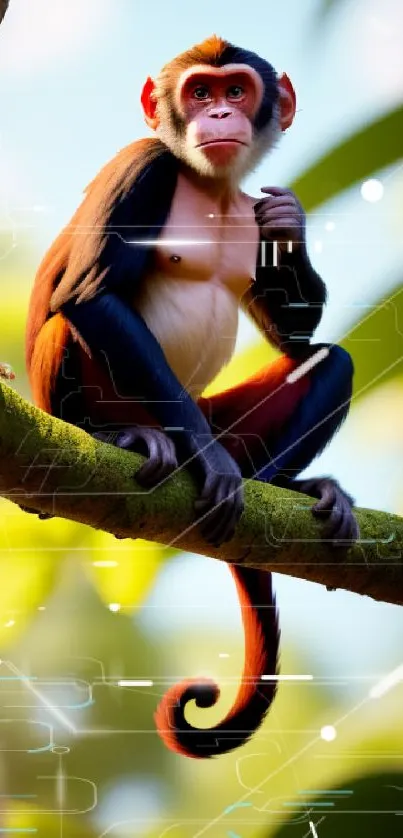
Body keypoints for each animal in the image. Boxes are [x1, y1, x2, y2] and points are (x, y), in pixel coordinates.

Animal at [26, 35, 359, 759]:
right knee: (72, 318)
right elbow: (89, 295)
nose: (219, 116)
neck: (207, 184)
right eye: (199, 93)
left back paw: (281, 487)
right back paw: (125, 437)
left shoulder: (252, 204)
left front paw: (292, 226)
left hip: (226, 421)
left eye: (235, 91)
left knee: (334, 361)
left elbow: (298, 334)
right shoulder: (144, 166)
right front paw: (207, 461)